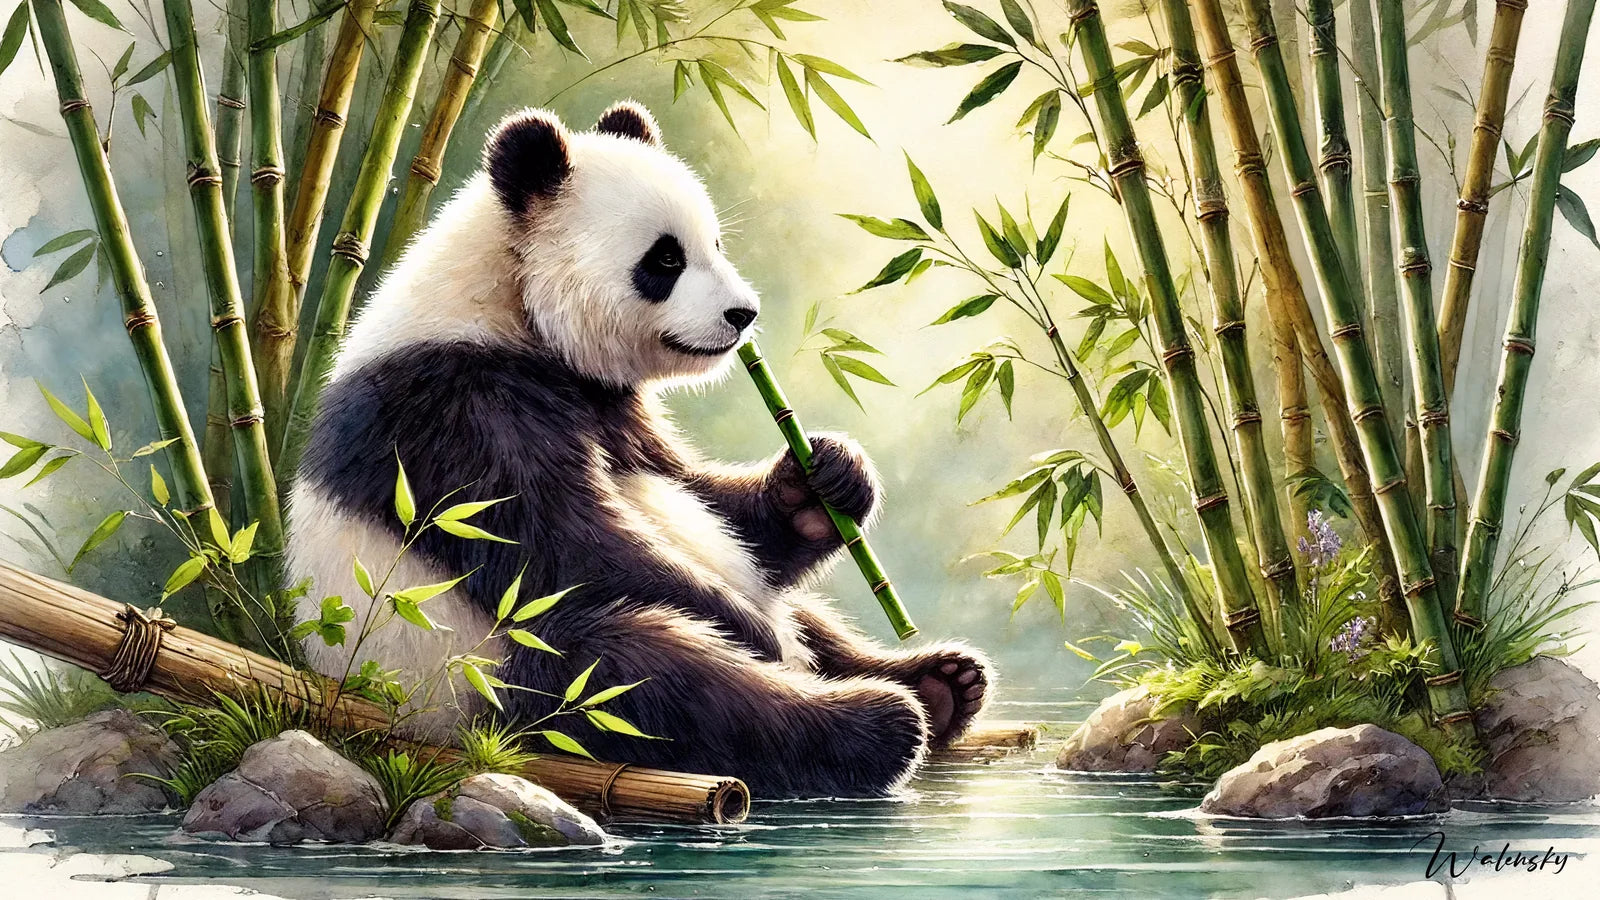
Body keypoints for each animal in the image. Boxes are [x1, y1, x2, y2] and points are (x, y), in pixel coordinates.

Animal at [287, 102, 992, 799]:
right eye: (665, 259)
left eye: (716, 244)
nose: (743, 314)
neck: (505, 307)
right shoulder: (455, 411)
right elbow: (559, 544)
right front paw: (759, 635)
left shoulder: (616, 408)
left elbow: (707, 498)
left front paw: (827, 479)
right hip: (481, 677)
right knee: (654, 675)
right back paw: (873, 717)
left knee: (792, 614)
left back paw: (942, 682)